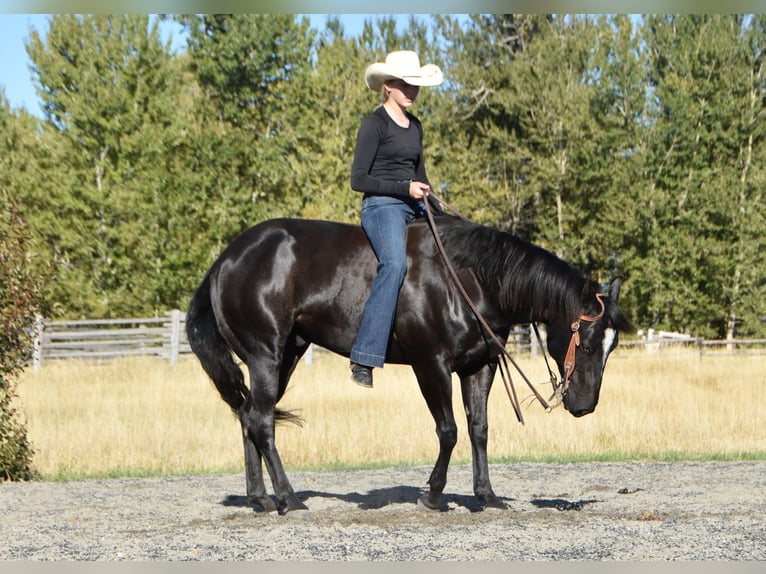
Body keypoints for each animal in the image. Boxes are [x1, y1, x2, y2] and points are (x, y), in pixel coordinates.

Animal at [185, 215, 634, 515]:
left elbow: (479, 430)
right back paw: (289, 498)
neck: (469, 279)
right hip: (266, 353)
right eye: (588, 344)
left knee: (248, 415)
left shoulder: (479, 367)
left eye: (611, 347)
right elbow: (449, 431)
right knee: (261, 420)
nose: (584, 405)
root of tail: (227, 259)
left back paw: (260, 498)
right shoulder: (430, 365)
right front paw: (433, 495)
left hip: (287, 354)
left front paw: (486, 495)